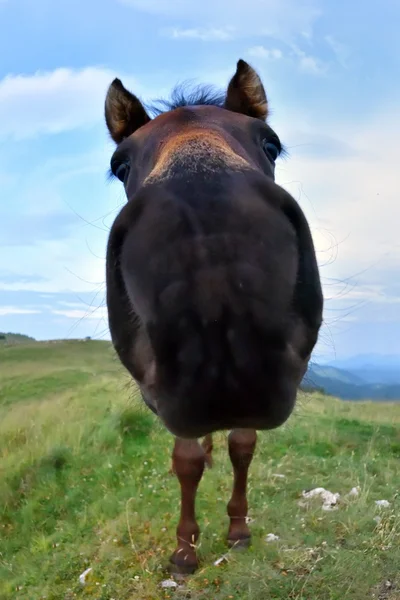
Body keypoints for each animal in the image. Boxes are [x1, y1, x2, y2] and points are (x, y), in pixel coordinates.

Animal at [104, 58, 324, 576]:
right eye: (120, 165)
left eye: (270, 143)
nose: (209, 234)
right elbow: (184, 460)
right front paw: (185, 548)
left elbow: (242, 448)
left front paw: (238, 529)